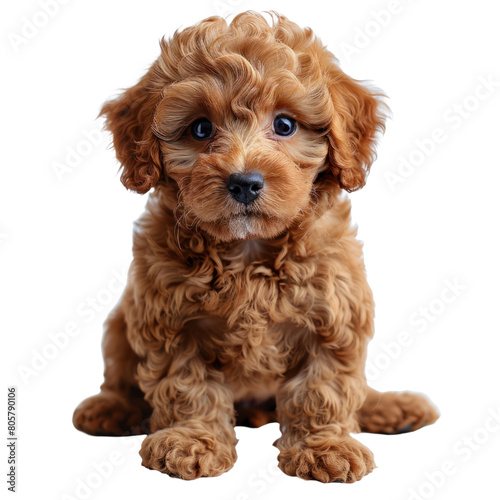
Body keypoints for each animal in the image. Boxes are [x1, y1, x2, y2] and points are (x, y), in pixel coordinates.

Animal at [73, 10, 438, 480]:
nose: (244, 182)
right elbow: (188, 388)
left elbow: (323, 388)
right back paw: (111, 408)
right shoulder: (170, 322)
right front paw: (191, 441)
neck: (248, 252)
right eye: (200, 128)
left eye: (285, 125)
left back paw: (392, 406)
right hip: (120, 324)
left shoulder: (334, 318)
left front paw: (324, 447)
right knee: (120, 375)